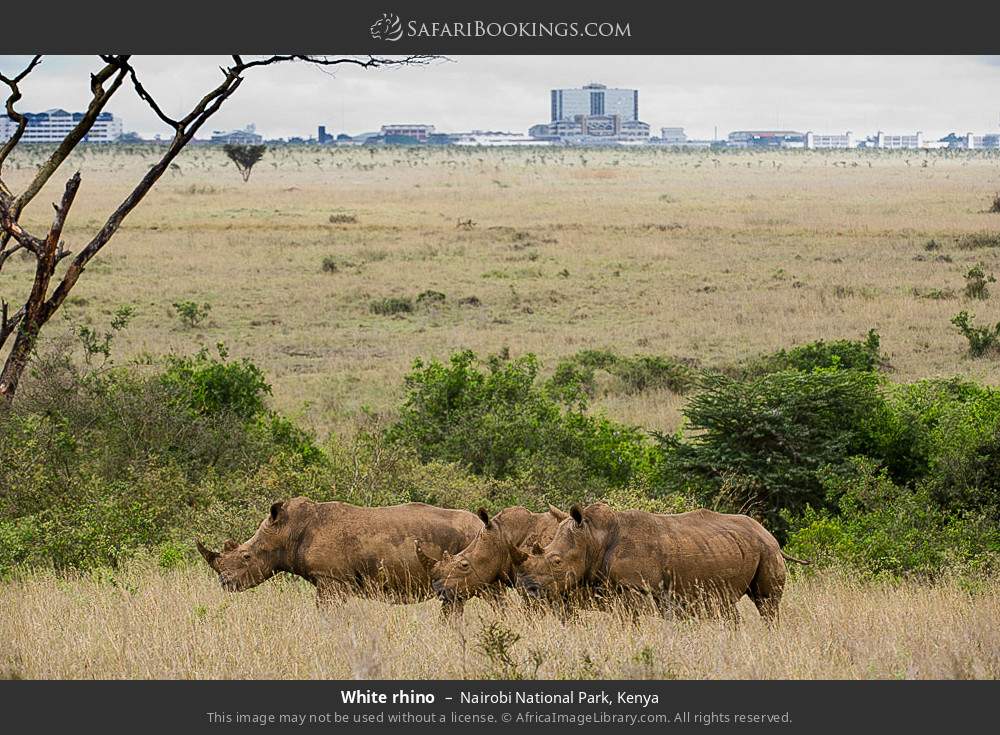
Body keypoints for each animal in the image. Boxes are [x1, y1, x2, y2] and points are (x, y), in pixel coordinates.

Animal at [196, 497, 482, 614]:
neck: (285, 532)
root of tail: (482, 525)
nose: (225, 582)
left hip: (470, 541)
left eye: (246, 557)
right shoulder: (334, 580)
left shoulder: (330, 579)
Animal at [515, 502, 808, 623]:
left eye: (556, 561)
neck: (592, 537)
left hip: (768, 550)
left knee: (766, 602)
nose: (529, 588)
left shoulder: (635, 586)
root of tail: (768, 533)